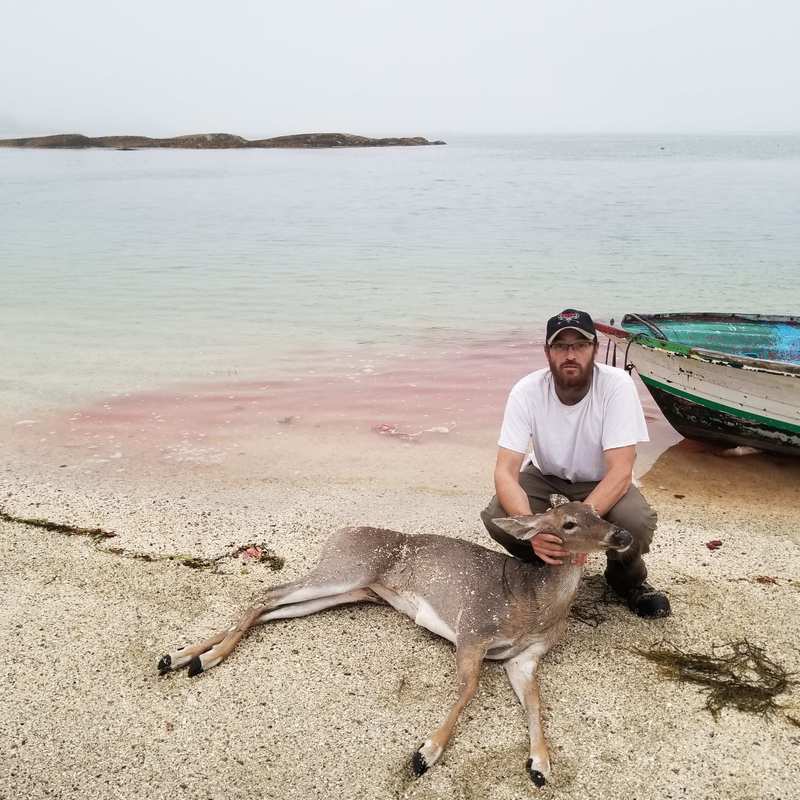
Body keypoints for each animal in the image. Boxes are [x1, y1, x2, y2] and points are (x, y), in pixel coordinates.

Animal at [157, 495, 632, 787]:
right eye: (569, 522)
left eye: (597, 510)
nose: (621, 535)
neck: (533, 604)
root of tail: (339, 533)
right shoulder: (473, 630)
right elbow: (468, 689)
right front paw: (427, 752)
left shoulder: (525, 659)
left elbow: (536, 705)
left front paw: (541, 763)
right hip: (344, 570)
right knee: (266, 594)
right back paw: (203, 658)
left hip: (350, 591)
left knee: (272, 610)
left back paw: (181, 656)